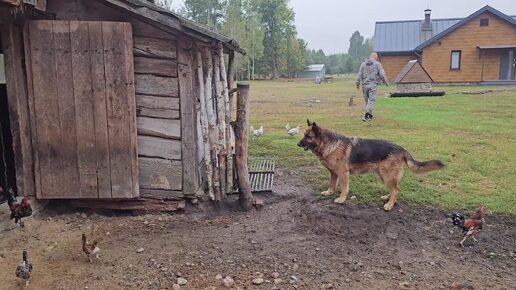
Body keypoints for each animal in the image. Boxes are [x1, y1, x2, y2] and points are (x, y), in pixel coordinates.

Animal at [296, 120, 446, 211]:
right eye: (304, 135)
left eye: (308, 136)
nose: (297, 144)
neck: (329, 145)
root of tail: (401, 148)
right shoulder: (333, 173)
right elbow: (332, 184)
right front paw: (329, 193)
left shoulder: (343, 174)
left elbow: (344, 189)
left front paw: (341, 199)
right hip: (384, 176)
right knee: (395, 189)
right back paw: (387, 198)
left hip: (387, 175)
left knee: (396, 190)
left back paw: (389, 205)